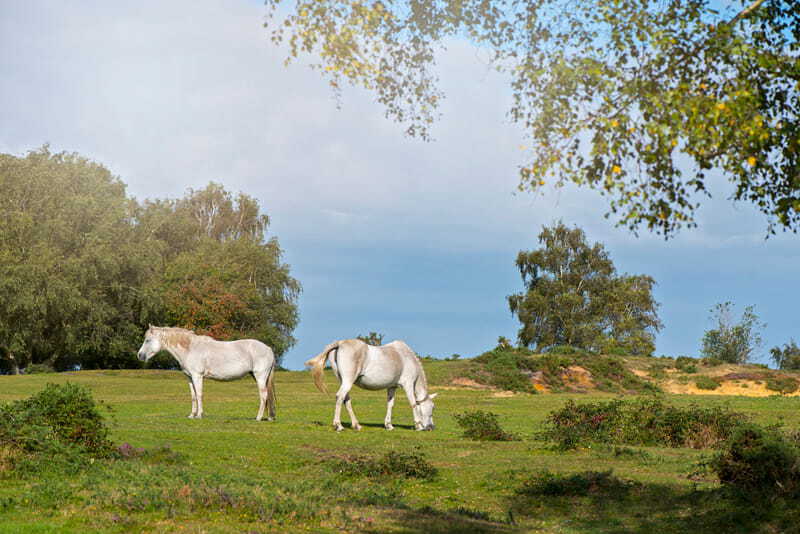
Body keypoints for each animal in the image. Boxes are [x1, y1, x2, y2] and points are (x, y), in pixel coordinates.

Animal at [136, 326, 276, 422]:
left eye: (148, 340)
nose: (139, 356)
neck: (190, 348)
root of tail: (268, 348)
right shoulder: (190, 377)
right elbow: (193, 396)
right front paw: (192, 415)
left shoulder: (197, 376)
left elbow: (199, 395)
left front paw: (199, 415)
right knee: (267, 397)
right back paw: (268, 417)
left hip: (260, 376)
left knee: (263, 396)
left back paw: (258, 418)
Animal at [304, 342, 438, 434]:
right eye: (432, 407)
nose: (431, 427)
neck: (406, 357)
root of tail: (340, 343)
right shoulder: (408, 385)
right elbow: (413, 404)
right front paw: (418, 426)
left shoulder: (392, 387)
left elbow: (390, 405)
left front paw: (389, 425)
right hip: (348, 381)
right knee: (340, 397)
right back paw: (339, 426)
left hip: (344, 381)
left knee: (346, 400)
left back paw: (356, 425)